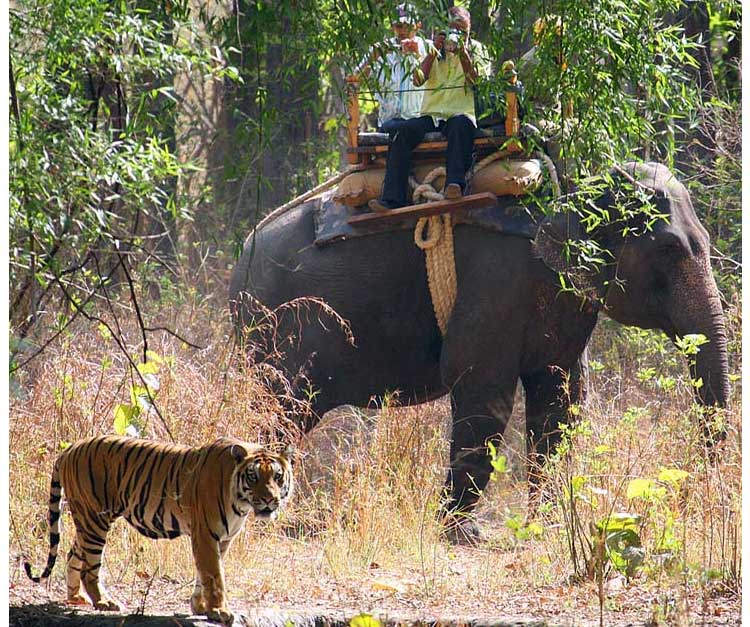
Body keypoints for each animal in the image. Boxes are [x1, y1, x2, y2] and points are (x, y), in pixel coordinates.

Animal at [24, 436, 294, 627]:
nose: (269, 499)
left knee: (72, 554)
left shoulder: (222, 539)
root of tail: (70, 448)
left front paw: (200, 606)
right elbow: (214, 575)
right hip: (94, 520)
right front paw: (219, 611)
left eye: (278, 477)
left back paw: (75, 598)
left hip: (86, 521)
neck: (241, 502)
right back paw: (103, 601)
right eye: (253, 476)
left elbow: (203, 573)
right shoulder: (206, 534)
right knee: (90, 566)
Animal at [232, 162, 732, 540]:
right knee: (282, 410)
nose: (690, 495)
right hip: (281, 329)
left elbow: (560, 402)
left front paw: (545, 528)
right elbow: (483, 392)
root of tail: (243, 255)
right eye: (667, 250)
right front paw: (461, 535)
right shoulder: (497, 279)